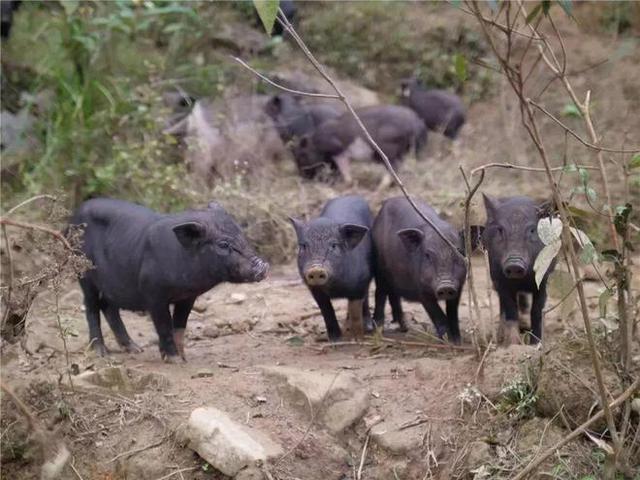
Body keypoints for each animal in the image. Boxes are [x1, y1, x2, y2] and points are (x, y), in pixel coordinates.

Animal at [69, 198, 268, 360]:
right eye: (223, 244)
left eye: (242, 234)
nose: (263, 266)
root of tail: (74, 215)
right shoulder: (153, 294)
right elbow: (164, 324)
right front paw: (174, 359)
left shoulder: (188, 296)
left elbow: (179, 325)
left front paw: (183, 358)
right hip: (84, 274)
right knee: (91, 307)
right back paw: (101, 353)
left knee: (108, 306)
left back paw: (135, 349)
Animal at [290, 195, 376, 342]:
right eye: (303, 246)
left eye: (334, 246)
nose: (316, 269)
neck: (336, 288)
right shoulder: (314, 290)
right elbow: (327, 311)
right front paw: (335, 340)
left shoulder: (360, 283)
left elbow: (356, 311)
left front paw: (358, 338)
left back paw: (368, 326)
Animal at [370, 197, 470, 344]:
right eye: (428, 255)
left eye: (459, 252)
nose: (445, 286)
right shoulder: (420, 288)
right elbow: (437, 314)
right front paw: (447, 341)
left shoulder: (459, 286)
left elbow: (452, 313)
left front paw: (457, 341)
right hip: (379, 267)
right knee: (380, 293)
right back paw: (378, 331)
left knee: (394, 296)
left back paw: (404, 327)